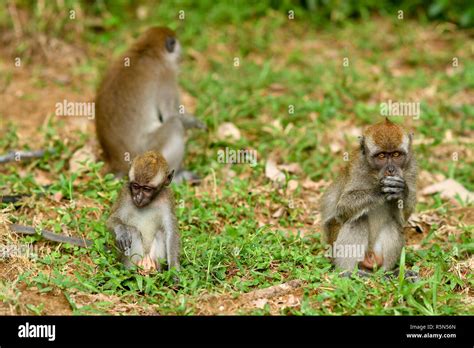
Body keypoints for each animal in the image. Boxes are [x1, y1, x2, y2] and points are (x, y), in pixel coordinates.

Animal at [96, 26, 206, 182]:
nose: (181, 54)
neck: (147, 49)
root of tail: (117, 163)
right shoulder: (166, 76)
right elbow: (171, 115)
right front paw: (195, 123)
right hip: (148, 150)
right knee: (174, 125)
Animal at [320, 118, 416, 278]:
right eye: (381, 156)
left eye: (396, 155)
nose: (391, 170)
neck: (374, 174)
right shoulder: (356, 168)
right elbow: (343, 208)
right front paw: (379, 190)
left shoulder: (411, 168)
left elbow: (404, 217)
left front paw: (402, 191)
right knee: (357, 221)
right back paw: (348, 272)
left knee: (393, 223)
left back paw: (386, 273)